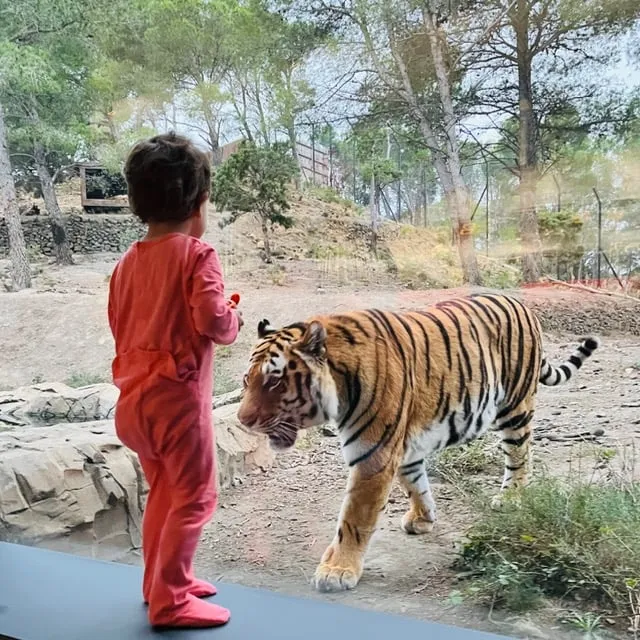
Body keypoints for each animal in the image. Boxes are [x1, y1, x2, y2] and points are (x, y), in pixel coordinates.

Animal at [235, 292, 600, 592]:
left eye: (274, 381)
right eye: (247, 379)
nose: (242, 420)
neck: (338, 382)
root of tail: (521, 303)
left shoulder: (373, 454)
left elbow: (354, 519)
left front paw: (337, 570)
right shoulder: (401, 446)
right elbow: (415, 483)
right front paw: (423, 519)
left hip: (514, 407)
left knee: (521, 453)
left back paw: (510, 496)